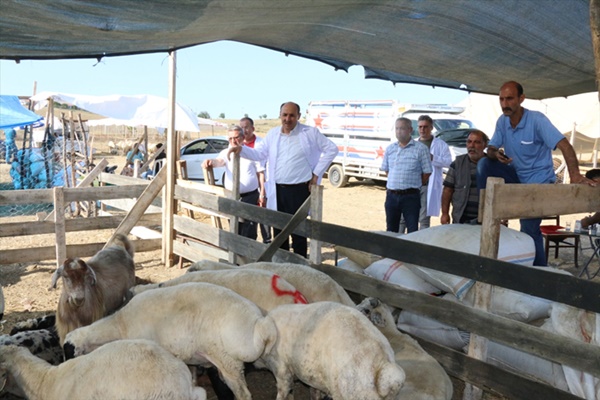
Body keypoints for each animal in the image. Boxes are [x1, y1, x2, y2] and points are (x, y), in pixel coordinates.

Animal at [63, 282, 276, 400]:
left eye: (68, 352)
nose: (66, 367)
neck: (118, 325)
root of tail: (258, 322)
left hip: (228, 360)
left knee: (243, 394)